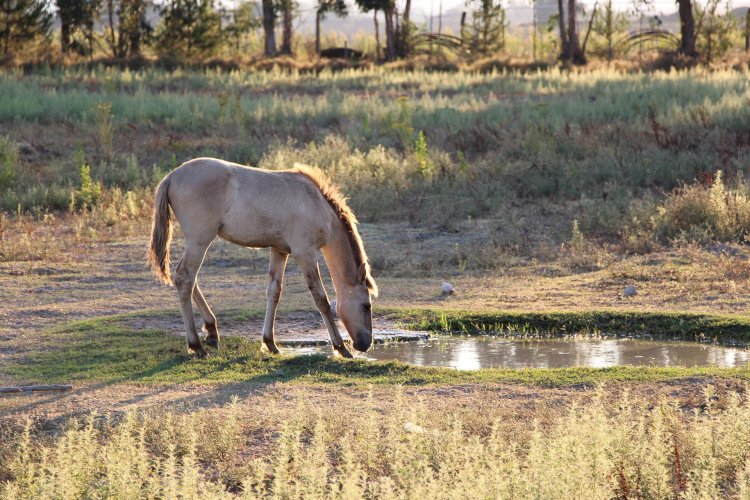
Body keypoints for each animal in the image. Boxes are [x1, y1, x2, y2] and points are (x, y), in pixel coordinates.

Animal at [148, 158, 378, 358]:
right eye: (366, 306)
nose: (365, 345)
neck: (316, 205)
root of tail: (172, 176)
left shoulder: (279, 250)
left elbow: (274, 292)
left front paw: (270, 343)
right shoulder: (304, 253)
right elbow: (321, 299)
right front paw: (340, 347)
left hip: (198, 242)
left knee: (188, 279)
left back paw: (212, 332)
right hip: (199, 241)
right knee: (185, 278)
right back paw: (196, 345)